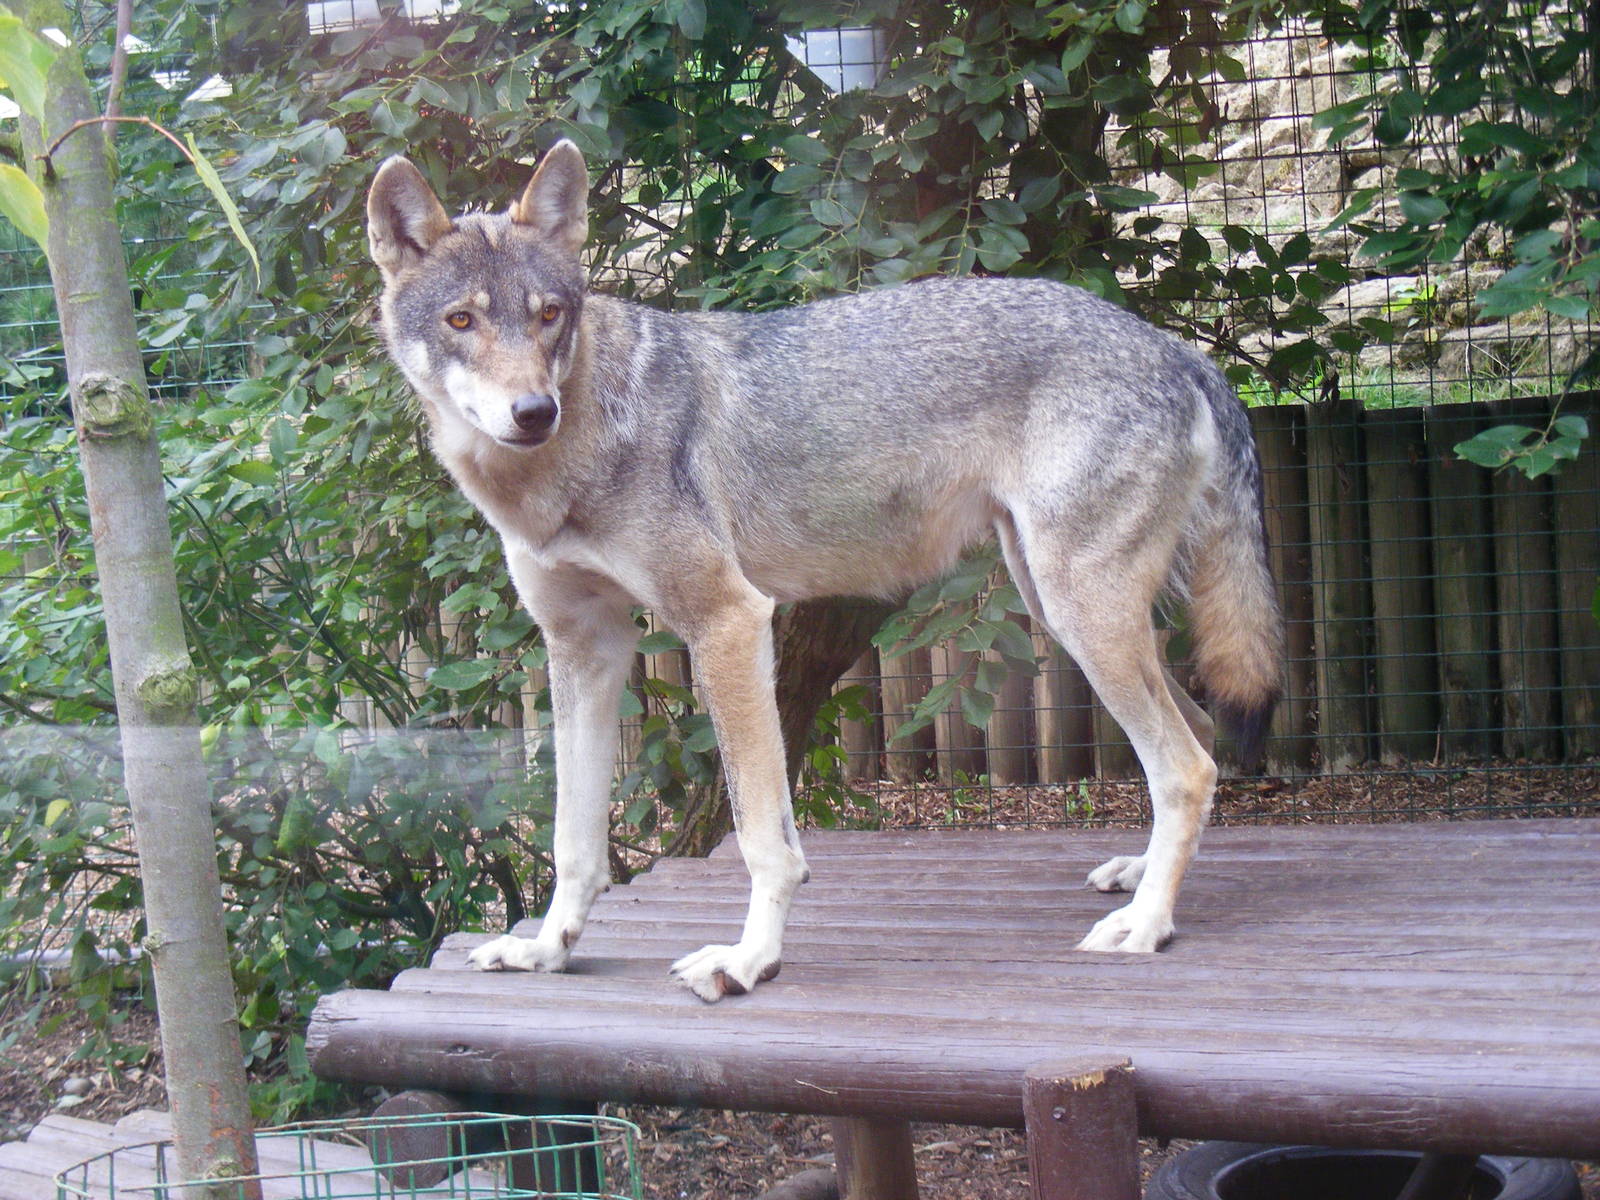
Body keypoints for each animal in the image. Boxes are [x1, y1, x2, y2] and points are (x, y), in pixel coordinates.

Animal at [366, 139, 1283, 1001]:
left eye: (549, 315)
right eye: (460, 320)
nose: (533, 412)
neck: (574, 451)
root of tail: (1178, 349)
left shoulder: (729, 622)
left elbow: (763, 838)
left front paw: (748, 960)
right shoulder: (584, 647)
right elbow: (573, 836)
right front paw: (546, 950)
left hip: (1077, 613)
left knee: (1189, 766)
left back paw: (1148, 926)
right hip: (1065, 610)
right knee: (1196, 741)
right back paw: (1140, 883)